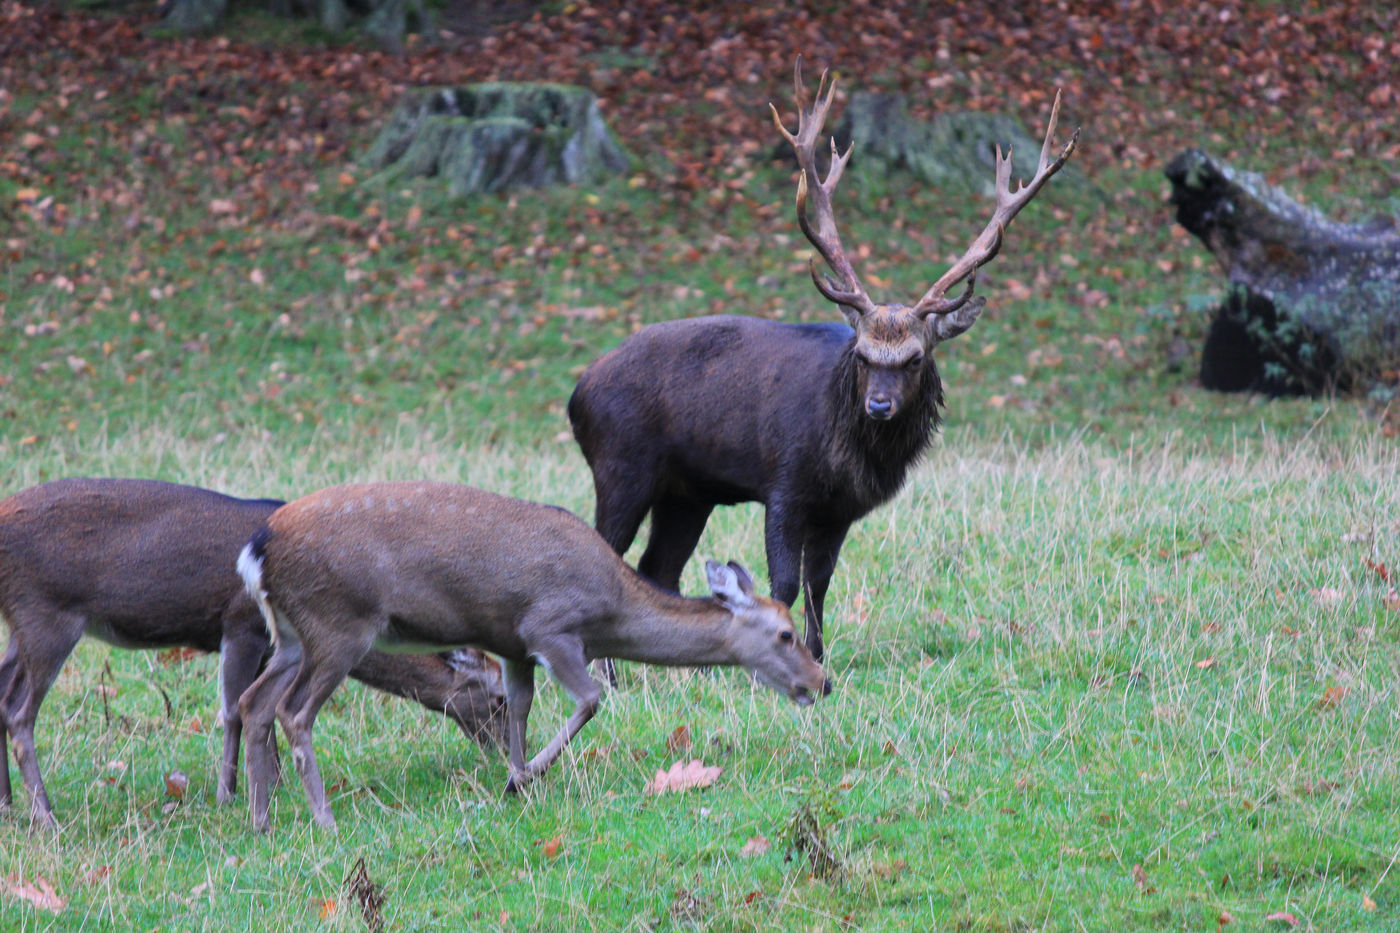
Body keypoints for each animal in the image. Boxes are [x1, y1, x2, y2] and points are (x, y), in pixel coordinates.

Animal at [0, 479, 504, 829]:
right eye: (498, 697)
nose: (501, 752)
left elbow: (260, 710)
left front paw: (272, 783)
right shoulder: (240, 622)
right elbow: (232, 711)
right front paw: (229, 794)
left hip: (20, 624)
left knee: (3, 698)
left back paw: (8, 805)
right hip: (46, 613)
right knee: (21, 711)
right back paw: (45, 816)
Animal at [228, 479, 817, 829]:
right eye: (786, 634)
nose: (822, 681)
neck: (611, 608)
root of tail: (256, 551)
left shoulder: (511, 647)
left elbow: (519, 707)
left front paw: (514, 779)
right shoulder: (548, 627)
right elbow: (590, 698)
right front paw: (527, 774)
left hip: (291, 635)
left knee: (254, 702)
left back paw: (260, 822)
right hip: (338, 625)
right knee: (294, 712)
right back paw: (324, 820)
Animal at [562, 56, 1075, 661]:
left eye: (915, 358)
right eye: (863, 355)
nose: (879, 406)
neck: (843, 453)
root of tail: (576, 395)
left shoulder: (840, 510)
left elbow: (820, 583)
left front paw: (820, 658)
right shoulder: (783, 485)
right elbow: (783, 582)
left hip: (687, 491)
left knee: (656, 567)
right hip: (621, 463)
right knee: (611, 556)